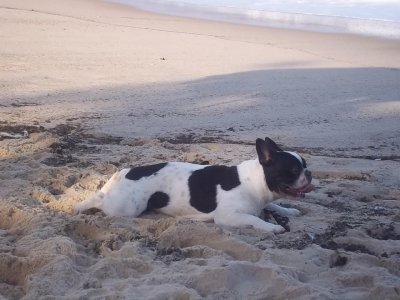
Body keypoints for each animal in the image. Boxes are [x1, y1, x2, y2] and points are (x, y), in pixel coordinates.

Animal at [74, 137, 312, 233]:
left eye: (305, 164)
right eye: (293, 170)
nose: (308, 173)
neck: (255, 182)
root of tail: (120, 174)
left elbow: (273, 205)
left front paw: (289, 210)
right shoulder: (228, 216)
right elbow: (255, 220)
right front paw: (273, 227)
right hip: (127, 208)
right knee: (101, 201)